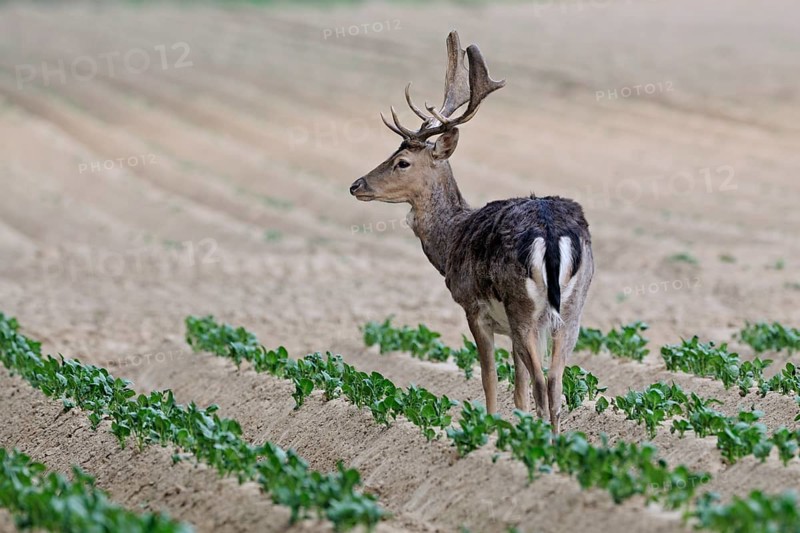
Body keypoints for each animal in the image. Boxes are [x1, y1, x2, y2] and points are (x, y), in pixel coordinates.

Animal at [349, 31, 593, 433]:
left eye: (402, 162)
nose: (357, 185)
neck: (452, 240)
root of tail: (550, 232)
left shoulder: (473, 307)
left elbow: (490, 378)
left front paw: (489, 430)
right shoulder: (512, 326)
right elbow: (518, 390)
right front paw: (513, 430)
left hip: (522, 306)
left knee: (543, 384)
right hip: (572, 308)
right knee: (556, 382)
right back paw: (553, 444)